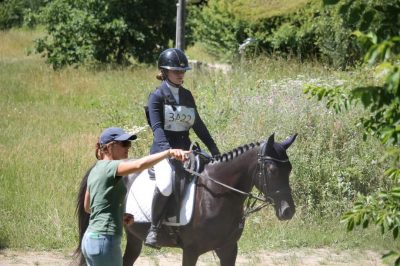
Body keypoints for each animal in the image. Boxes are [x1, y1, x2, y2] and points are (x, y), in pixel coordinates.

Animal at [76, 134, 296, 264]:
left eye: (289, 169)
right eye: (272, 170)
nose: (288, 211)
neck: (216, 194)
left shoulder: (228, 248)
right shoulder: (191, 250)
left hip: (134, 235)